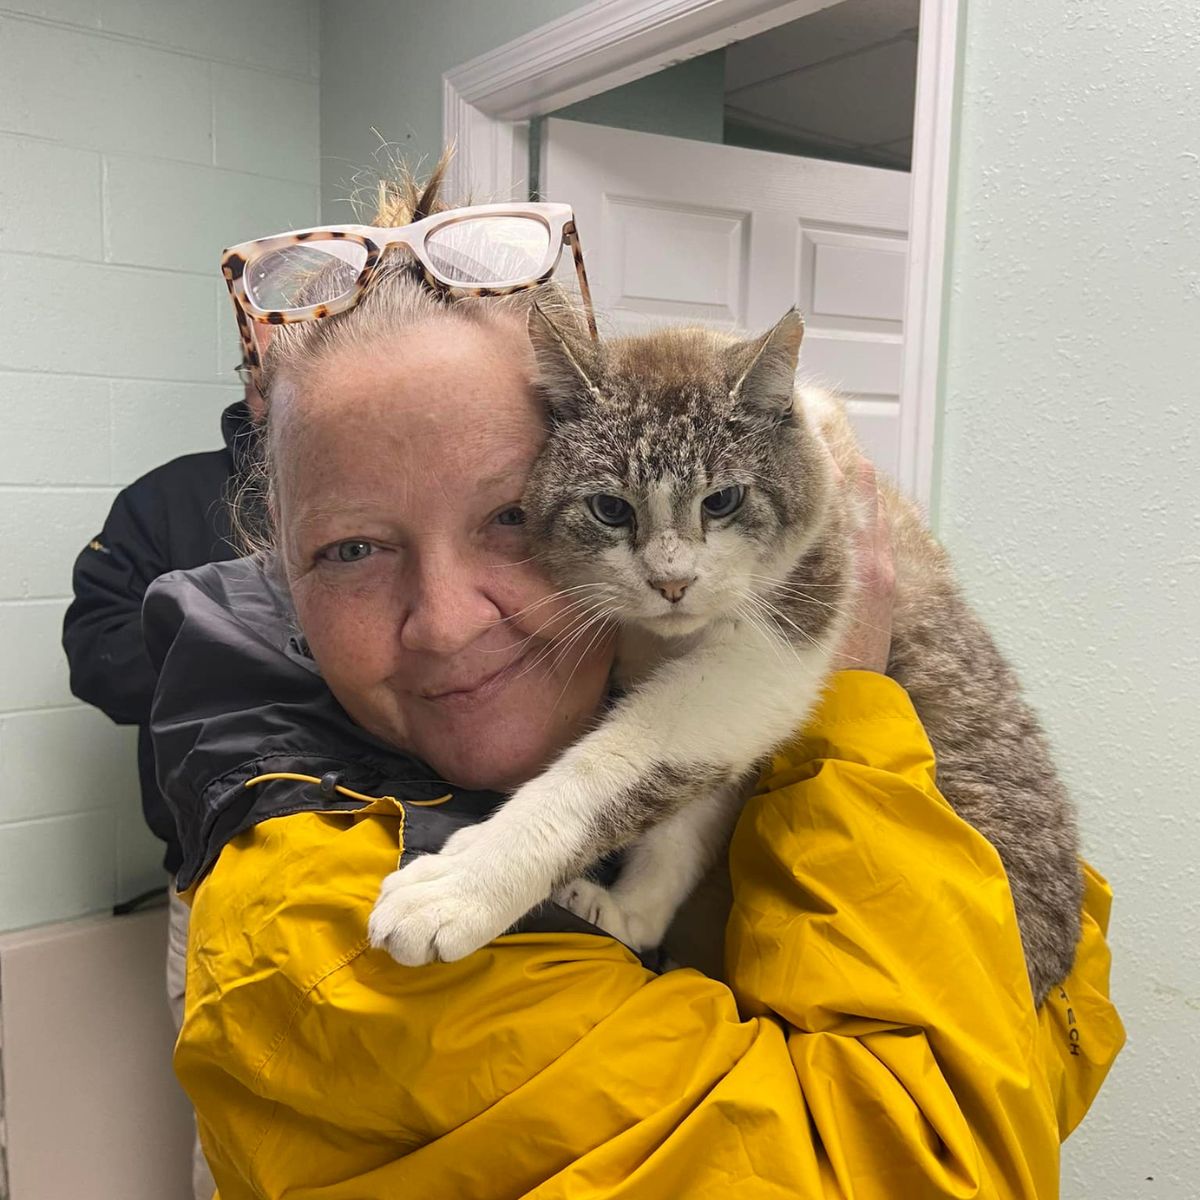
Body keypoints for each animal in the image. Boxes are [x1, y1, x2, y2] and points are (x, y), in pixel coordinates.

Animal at [369, 307, 1084, 1003]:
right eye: (609, 509)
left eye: (722, 501)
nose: (672, 582)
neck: (664, 639)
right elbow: (683, 815)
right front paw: (630, 913)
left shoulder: (769, 649)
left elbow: (609, 768)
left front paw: (460, 886)